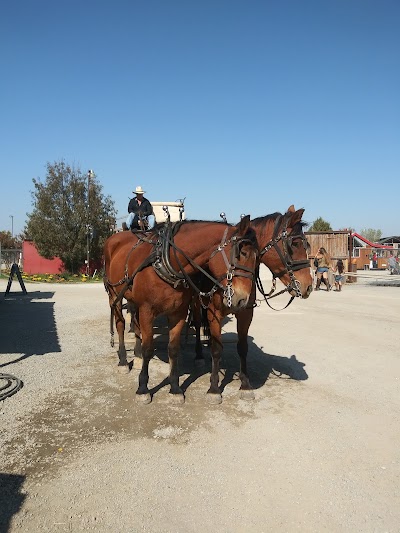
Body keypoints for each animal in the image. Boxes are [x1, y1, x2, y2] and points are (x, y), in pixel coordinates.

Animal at [103, 216, 260, 404]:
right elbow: (149, 349)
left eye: (257, 258)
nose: (242, 299)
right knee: (120, 324)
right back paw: (123, 361)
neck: (166, 261)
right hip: (114, 294)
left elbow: (173, 348)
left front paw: (175, 388)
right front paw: (143, 388)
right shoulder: (147, 310)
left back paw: (137, 353)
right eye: (242, 253)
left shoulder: (178, 312)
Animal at [191, 206, 312, 396]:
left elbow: (242, 347)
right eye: (295, 244)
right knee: (197, 325)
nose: (309, 285)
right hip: (196, 303)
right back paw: (198, 355)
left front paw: (245, 384)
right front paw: (214, 388)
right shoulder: (213, 312)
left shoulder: (246, 312)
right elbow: (216, 349)